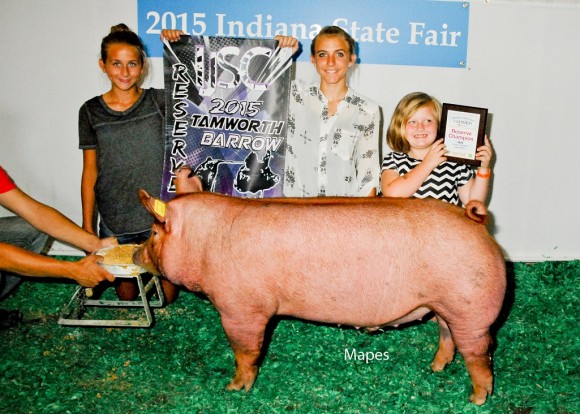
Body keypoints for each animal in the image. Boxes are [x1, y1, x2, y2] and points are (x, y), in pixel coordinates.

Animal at [134, 177, 506, 404]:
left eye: (154, 233)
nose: (136, 254)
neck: (207, 243)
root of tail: (477, 222)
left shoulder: (240, 309)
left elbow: (246, 352)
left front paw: (235, 388)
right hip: (446, 306)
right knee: (447, 337)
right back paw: (435, 368)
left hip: (471, 309)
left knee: (479, 354)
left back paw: (476, 398)